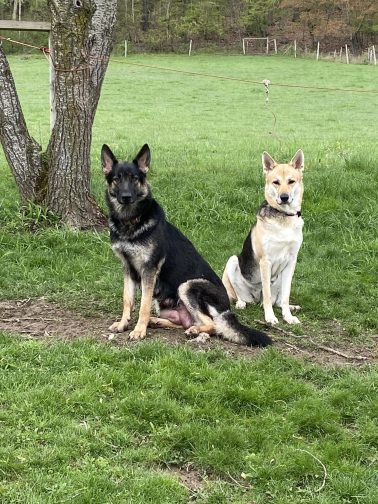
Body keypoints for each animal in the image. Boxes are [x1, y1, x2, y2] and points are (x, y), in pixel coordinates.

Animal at [221, 150, 304, 324]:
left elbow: (285, 295)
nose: (284, 197)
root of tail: (255, 299)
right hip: (233, 261)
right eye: (276, 182)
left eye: (291, 181)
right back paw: (241, 303)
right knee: (241, 295)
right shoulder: (266, 261)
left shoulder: (291, 261)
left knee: (278, 300)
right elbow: (266, 294)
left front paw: (288, 316)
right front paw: (270, 317)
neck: (283, 217)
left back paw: (291, 307)